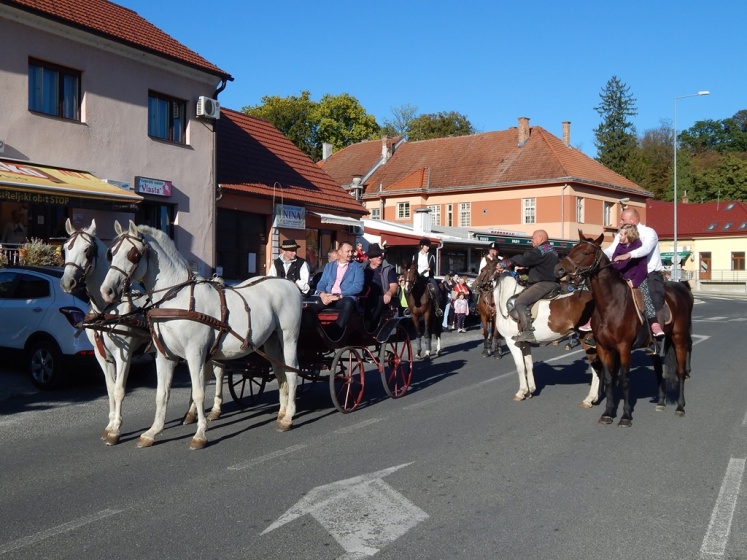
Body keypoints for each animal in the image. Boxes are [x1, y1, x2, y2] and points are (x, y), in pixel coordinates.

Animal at [60, 221, 225, 444]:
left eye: (87, 250)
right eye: (65, 248)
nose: (66, 282)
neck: (110, 308)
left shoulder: (124, 354)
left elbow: (119, 390)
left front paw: (115, 430)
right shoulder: (102, 356)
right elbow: (110, 389)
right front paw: (110, 424)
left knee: (217, 373)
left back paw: (215, 409)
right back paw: (191, 414)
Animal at [100, 221, 304, 448]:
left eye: (133, 254)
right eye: (111, 253)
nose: (106, 291)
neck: (176, 298)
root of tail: (288, 284)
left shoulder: (195, 354)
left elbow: (198, 393)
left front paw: (200, 434)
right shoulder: (164, 356)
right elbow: (162, 394)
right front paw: (152, 432)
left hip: (289, 337)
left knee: (292, 371)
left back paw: (288, 417)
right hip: (271, 341)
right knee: (280, 371)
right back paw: (282, 412)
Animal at [496, 270, 600, 404]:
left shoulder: (512, 342)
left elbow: (520, 366)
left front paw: (521, 392)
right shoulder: (524, 343)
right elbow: (528, 365)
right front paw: (530, 391)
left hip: (587, 340)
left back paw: (589, 399)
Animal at [556, 230, 696, 426]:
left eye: (585, 252)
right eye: (573, 248)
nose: (559, 270)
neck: (611, 303)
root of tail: (682, 288)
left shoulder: (624, 347)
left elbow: (625, 380)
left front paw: (626, 416)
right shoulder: (603, 347)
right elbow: (608, 379)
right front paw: (608, 413)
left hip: (679, 338)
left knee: (681, 371)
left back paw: (680, 407)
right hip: (655, 345)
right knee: (659, 370)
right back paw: (660, 402)